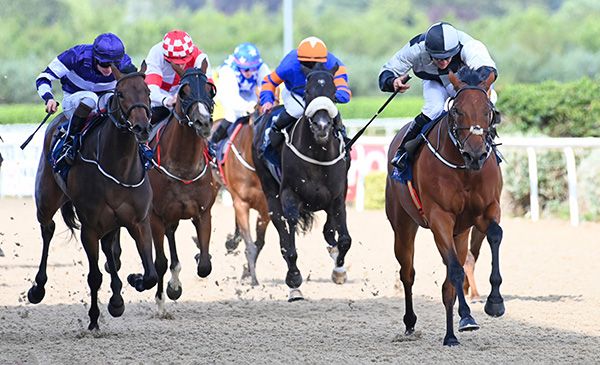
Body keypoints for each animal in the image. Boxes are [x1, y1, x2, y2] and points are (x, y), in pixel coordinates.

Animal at [28, 63, 156, 330]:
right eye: (120, 93)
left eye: (148, 91)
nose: (141, 127)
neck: (119, 167)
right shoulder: (90, 227)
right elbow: (94, 276)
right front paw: (94, 319)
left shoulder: (139, 221)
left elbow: (150, 274)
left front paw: (134, 281)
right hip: (46, 200)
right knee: (48, 229)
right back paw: (37, 288)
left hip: (111, 222)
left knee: (109, 250)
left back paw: (117, 298)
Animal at [146, 60, 219, 312]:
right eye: (183, 91)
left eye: (210, 90)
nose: (203, 122)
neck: (183, 166)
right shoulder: (155, 216)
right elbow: (159, 261)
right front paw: (161, 300)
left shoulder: (203, 213)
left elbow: (205, 265)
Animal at [210, 109, 268, 286]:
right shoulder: (241, 203)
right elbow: (250, 245)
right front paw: (253, 280)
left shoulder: (266, 210)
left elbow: (259, 243)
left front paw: (248, 273)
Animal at [386, 67, 504, 346]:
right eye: (457, 110)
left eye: (489, 110)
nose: (476, 155)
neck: (464, 169)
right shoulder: (440, 217)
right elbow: (455, 271)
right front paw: (458, 326)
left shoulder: (488, 210)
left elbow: (495, 235)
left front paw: (494, 303)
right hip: (403, 224)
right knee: (408, 272)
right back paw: (412, 323)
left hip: (460, 231)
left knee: (456, 268)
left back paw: (460, 323)